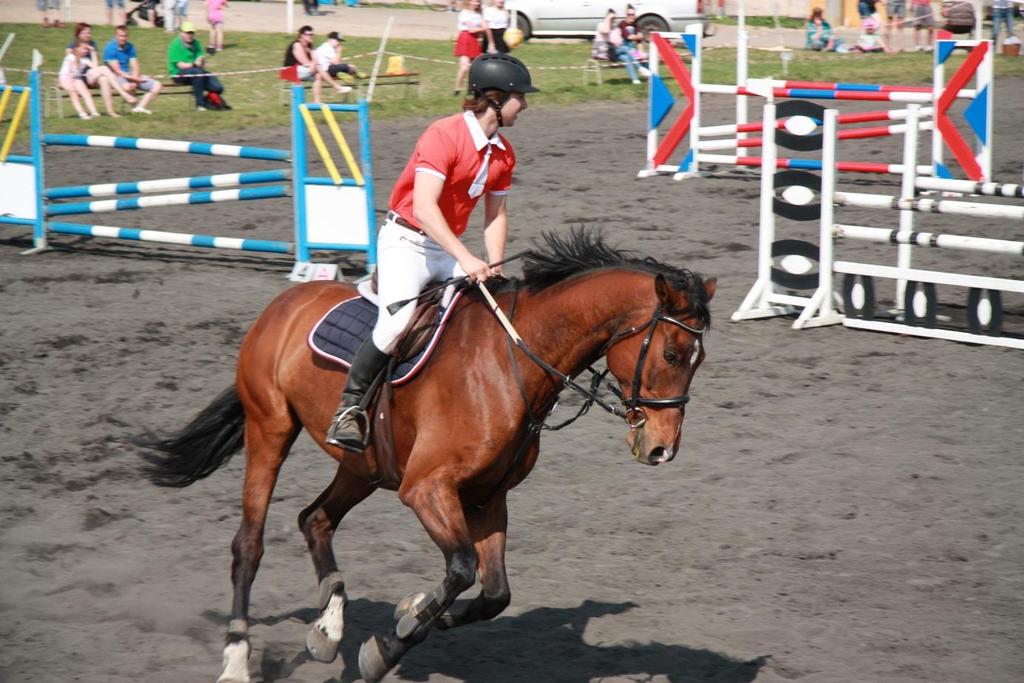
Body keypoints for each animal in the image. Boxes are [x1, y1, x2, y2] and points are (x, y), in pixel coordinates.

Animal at [148, 231, 716, 683]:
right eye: (670, 354)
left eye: (699, 359)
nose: (662, 449)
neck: (514, 364)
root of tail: (284, 303)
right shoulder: (426, 488)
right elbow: (462, 568)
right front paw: (382, 651)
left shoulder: (487, 497)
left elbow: (494, 594)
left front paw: (409, 610)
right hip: (270, 429)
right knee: (249, 546)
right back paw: (236, 662)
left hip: (365, 466)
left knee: (316, 519)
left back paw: (328, 630)